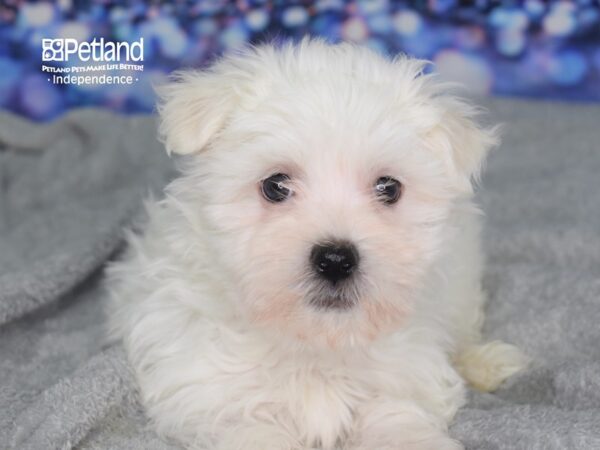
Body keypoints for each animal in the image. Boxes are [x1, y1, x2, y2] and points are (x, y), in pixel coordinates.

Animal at [106, 39, 524, 450]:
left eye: (388, 188)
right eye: (275, 185)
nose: (336, 259)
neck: (316, 345)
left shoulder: (401, 380)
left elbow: (396, 420)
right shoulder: (215, 395)